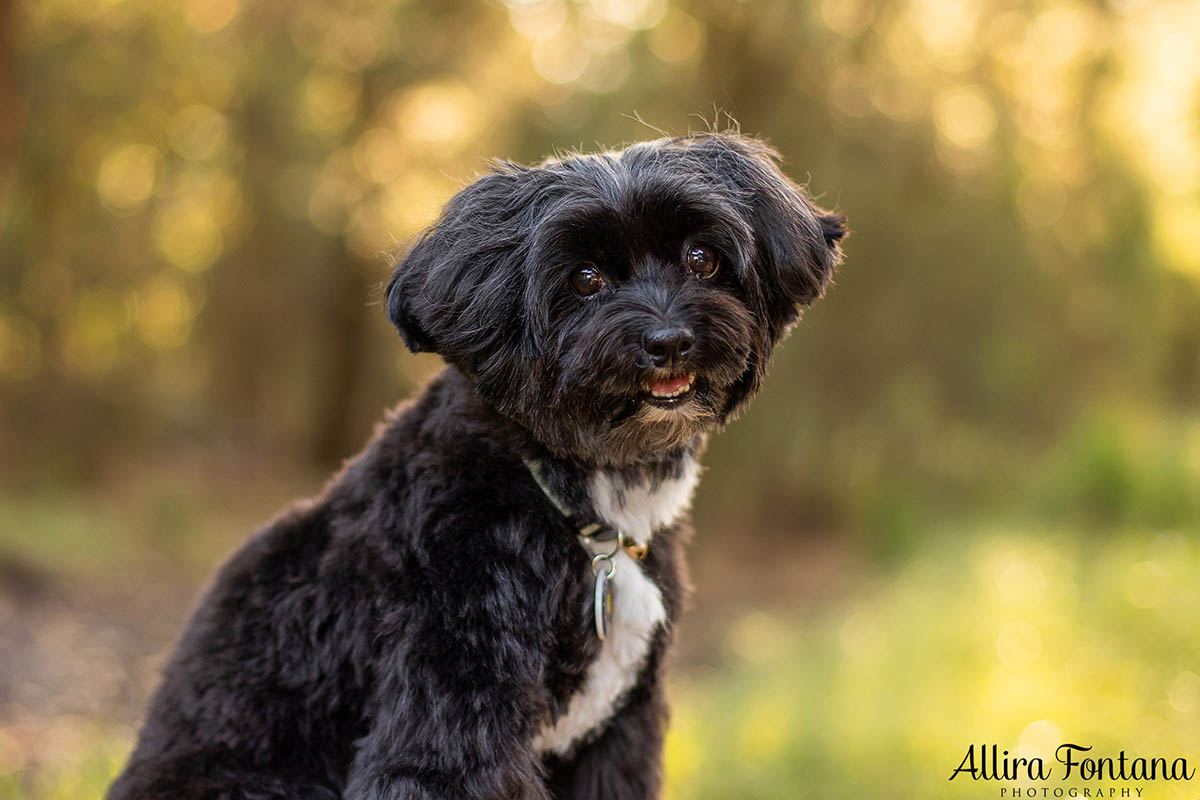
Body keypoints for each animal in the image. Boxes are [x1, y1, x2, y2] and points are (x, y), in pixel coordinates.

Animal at [110, 133, 844, 800]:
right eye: (585, 279)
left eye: (701, 258)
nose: (669, 341)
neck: (577, 500)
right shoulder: (450, 712)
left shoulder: (619, 736)